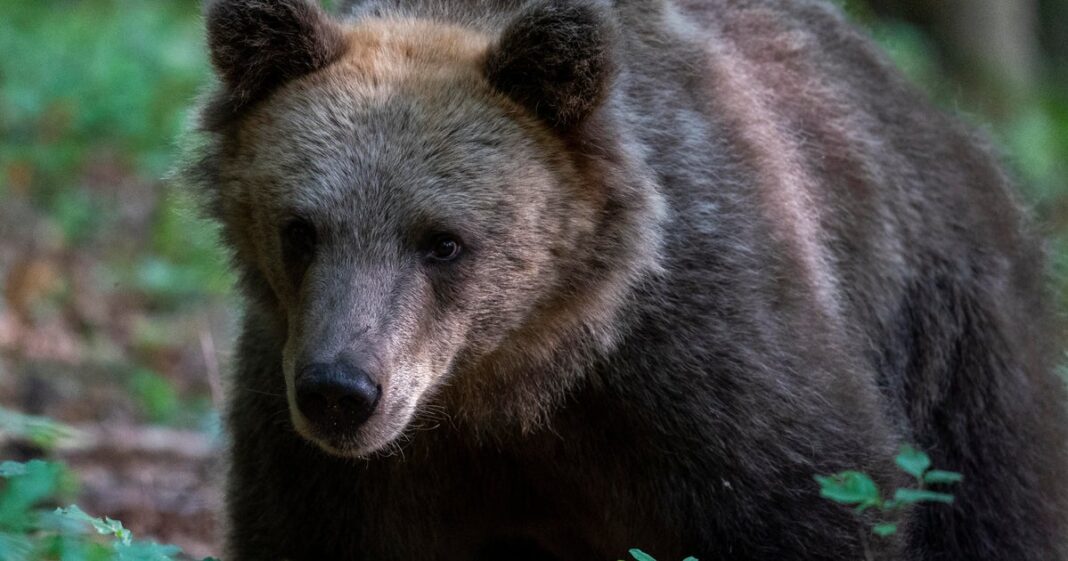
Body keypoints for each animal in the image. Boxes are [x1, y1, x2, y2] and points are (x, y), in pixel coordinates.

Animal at [183, 0, 1068, 559]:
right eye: (301, 228)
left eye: (443, 242)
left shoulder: (708, 358)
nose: (341, 389)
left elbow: (814, 497)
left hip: (956, 345)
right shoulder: (321, 448)